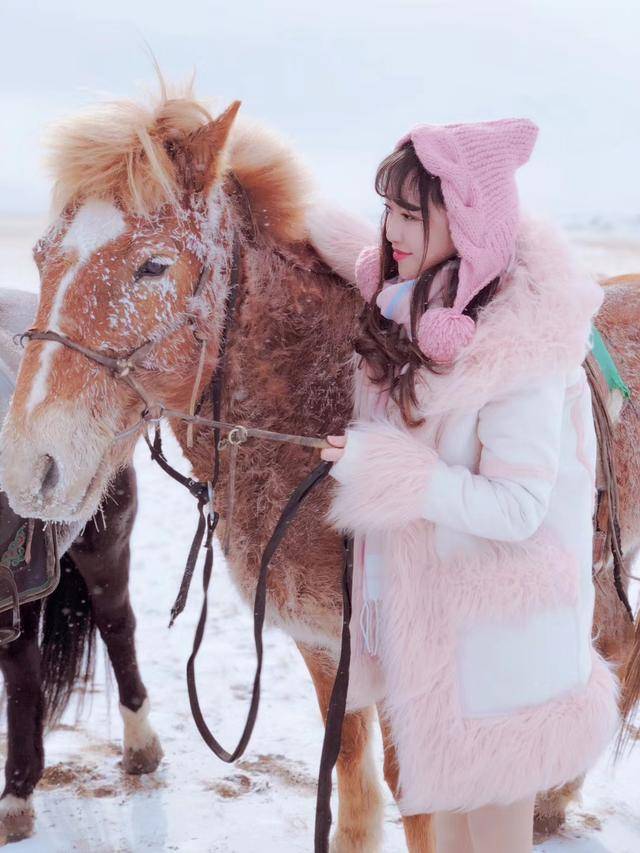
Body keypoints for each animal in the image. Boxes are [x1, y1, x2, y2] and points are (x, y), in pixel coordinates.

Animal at [1, 78, 636, 844]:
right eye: (42, 257)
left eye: (153, 265)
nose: (30, 466)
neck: (314, 395)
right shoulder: (323, 644)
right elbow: (353, 788)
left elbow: (414, 799)